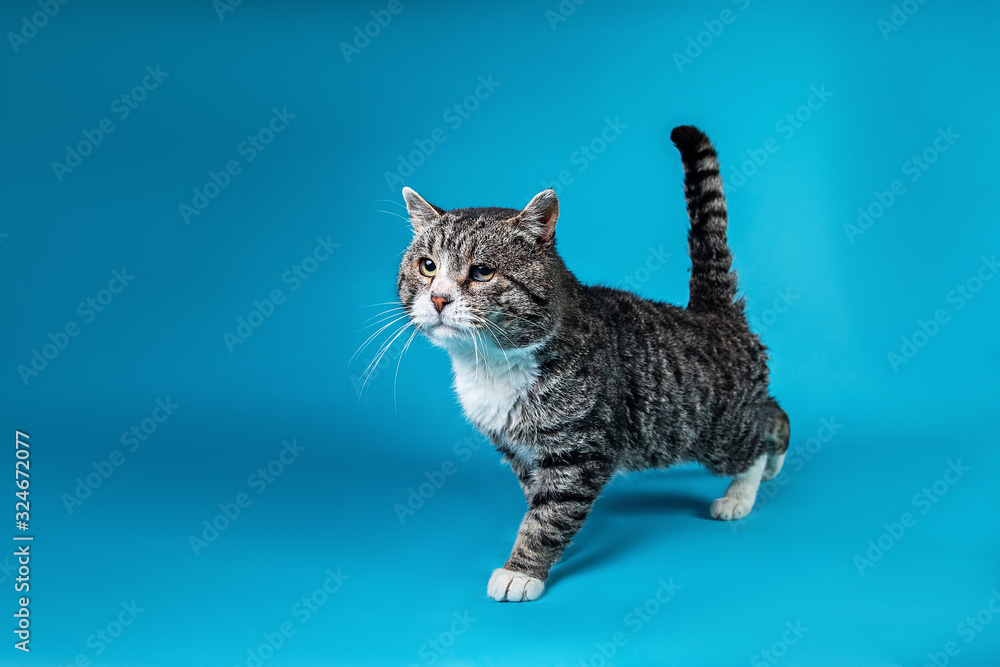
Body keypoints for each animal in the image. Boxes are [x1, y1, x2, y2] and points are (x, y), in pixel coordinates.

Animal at [392, 122, 788, 604]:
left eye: (483, 272)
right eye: (427, 266)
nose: (438, 298)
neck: (493, 364)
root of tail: (712, 314)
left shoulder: (580, 450)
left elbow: (550, 514)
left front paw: (522, 570)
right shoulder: (521, 453)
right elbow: (541, 502)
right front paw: (553, 546)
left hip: (716, 431)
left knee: (760, 435)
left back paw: (742, 493)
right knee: (775, 413)